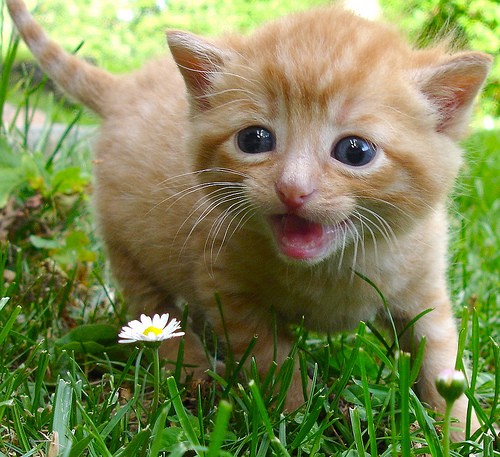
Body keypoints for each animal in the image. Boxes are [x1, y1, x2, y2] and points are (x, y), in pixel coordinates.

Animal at [8, 0, 492, 436]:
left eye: (356, 151)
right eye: (254, 140)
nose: (292, 189)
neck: (333, 267)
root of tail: (125, 88)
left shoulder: (423, 287)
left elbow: (441, 360)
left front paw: (461, 429)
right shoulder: (228, 290)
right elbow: (275, 361)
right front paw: (292, 420)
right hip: (127, 249)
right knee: (154, 313)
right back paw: (194, 372)